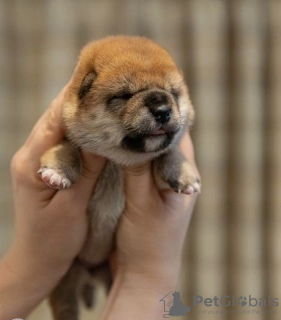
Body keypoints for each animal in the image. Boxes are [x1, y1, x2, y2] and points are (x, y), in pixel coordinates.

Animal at [38, 35, 200, 320]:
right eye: (125, 95)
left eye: (173, 93)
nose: (162, 110)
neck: (117, 162)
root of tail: (90, 274)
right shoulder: (67, 135)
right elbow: (67, 148)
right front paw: (57, 170)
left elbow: (168, 151)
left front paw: (183, 173)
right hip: (64, 282)